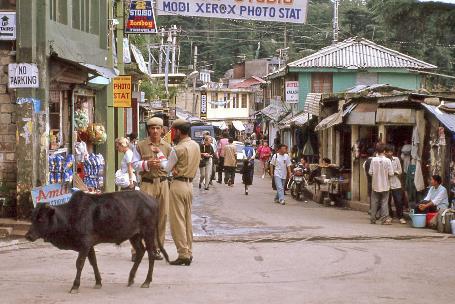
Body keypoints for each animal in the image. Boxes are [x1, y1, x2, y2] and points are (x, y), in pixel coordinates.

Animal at [24, 191, 169, 294]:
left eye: (41, 219)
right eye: (32, 218)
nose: (28, 236)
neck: (70, 216)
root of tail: (153, 200)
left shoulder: (84, 244)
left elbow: (80, 264)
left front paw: (75, 286)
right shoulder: (89, 245)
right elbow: (93, 262)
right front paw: (98, 282)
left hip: (148, 232)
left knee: (151, 254)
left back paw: (147, 281)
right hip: (134, 236)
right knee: (140, 252)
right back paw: (131, 278)